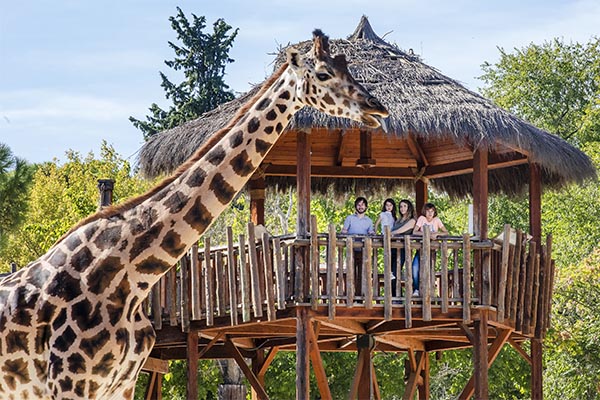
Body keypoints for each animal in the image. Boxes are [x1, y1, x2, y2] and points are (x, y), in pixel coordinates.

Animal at [0, 29, 386, 398]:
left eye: (347, 67)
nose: (377, 107)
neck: (131, 273)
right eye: (322, 73)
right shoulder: (69, 380)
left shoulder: (121, 382)